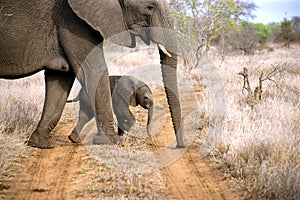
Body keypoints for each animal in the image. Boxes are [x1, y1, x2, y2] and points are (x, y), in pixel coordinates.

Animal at [0, 0, 185, 148]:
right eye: (150, 7)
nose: (179, 147)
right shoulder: (72, 22)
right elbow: (94, 70)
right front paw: (114, 142)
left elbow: (60, 77)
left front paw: (40, 145)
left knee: (84, 114)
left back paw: (73, 140)